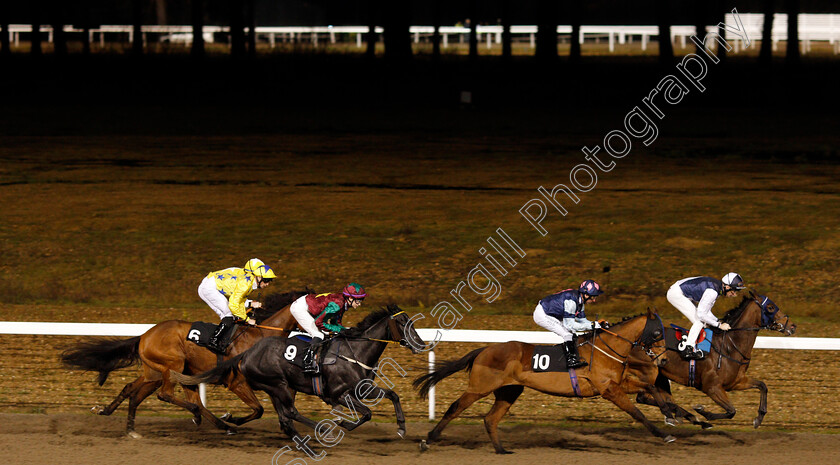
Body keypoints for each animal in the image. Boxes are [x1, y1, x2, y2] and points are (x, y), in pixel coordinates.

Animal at [60, 288, 308, 436]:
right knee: (169, 396)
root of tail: (145, 335)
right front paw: (232, 418)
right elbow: (258, 409)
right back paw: (209, 419)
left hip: (157, 373)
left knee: (133, 391)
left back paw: (120, 421)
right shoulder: (237, 382)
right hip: (172, 366)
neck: (260, 336)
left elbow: (280, 405)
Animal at [171, 302, 424, 440]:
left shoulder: (363, 389)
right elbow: (367, 413)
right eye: (403, 322)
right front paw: (343, 424)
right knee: (289, 412)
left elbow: (393, 395)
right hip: (279, 384)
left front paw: (401, 428)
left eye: (411, 321)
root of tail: (247, 352)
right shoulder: (338, 394)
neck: (355, 353)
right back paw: (321, 431)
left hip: (275, 387)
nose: (421, 344)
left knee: (283, 415)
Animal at [412, 308, 668, 454]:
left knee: (490, 418)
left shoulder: (618, 383)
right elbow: (636, 412)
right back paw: (428, 441)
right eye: (657, 333)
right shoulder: (608, 389)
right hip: (479, 387)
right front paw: (663, 433)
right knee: (455, 408)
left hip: (509, 391)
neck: (606, 349)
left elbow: (649, 386)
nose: (663, 360)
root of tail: (485, 349)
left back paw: (501, 450)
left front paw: (669, 411)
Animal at [632, 292, 796, 430]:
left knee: (656, 398)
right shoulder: (712, 387)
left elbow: (763, 386)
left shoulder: (736, 382)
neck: (729, 346)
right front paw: (702, 412)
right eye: (770, 307)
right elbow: (731, 411)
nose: (793, 326)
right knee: (644, 397)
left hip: (661, 376)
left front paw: (759, 418)